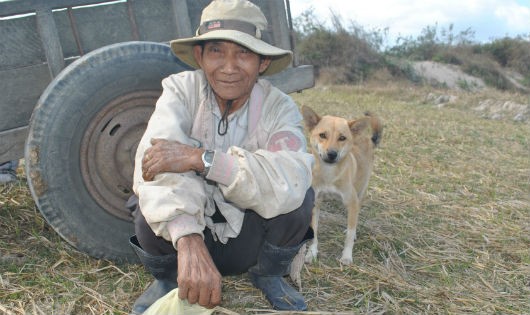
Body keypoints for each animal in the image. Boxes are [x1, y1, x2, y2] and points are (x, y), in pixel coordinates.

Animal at [300, 106, 382, 266]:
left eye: (342, 138)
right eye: (322, 135)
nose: (332, 154)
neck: (330, 174)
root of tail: (367, 138)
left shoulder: (352, 202)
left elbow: (349, 235)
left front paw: (347, 256)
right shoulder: (315, 203)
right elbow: (314, 233)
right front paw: (311, 253)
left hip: (360, 192)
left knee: (354, 220)